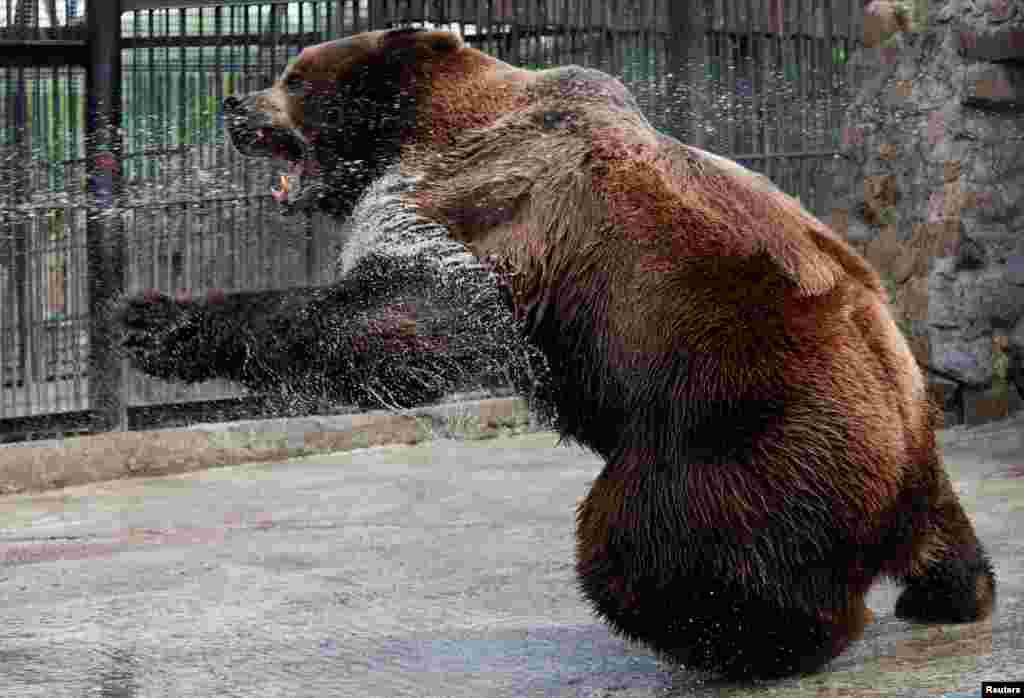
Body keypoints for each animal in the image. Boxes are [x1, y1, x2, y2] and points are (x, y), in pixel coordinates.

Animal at [222, 29, 991, 675]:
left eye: (294, 77)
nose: (233, 104)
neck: (421, 127)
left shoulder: (484, 202)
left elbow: (409, 319)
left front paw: (196, 327)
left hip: (746, 420)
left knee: (646, 544)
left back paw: (748, 637)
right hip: (898, 432)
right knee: (947, 535)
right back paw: (948, 592)